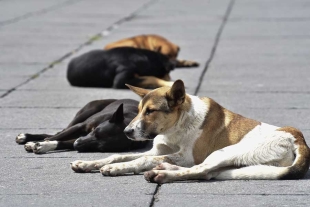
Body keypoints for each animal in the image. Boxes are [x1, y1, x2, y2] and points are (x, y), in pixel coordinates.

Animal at [15, 98, 148, 154]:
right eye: (96, 132)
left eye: (100, 148)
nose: (77, 144)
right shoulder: (80, 127)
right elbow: (56, 137)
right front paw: (34, 143)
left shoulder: (79, 138)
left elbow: (62, 142)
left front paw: (44, 146)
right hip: (86, 112)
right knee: (59, 132)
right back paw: (26, 137)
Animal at [70, 80, 310, 184]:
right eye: (138, 110)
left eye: (150, 111)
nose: (127, 132)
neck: (177, 126)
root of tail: (298, 139)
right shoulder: (157, 150)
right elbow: (119, 155)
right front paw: (89, 163)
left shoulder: (187, 156)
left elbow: (140, 160)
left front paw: (117, 169)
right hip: (240, 163)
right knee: (207, 173)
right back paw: (164, 169)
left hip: (226, 152)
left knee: (200, 170)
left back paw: (162, 174)